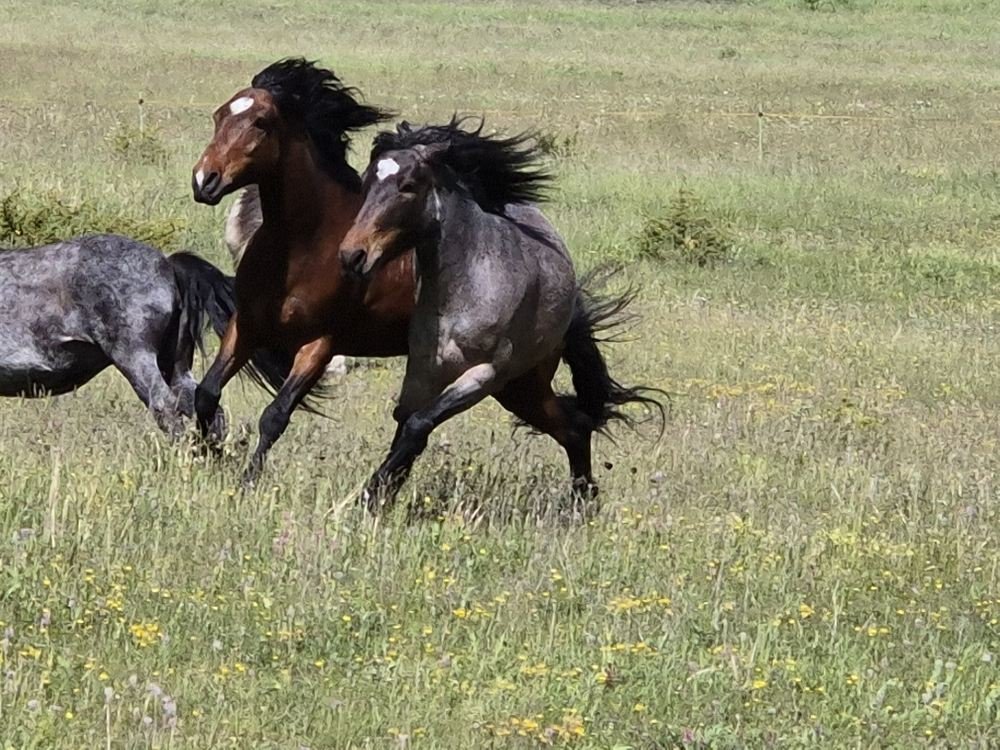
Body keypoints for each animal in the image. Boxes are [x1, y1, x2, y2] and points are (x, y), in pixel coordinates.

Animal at [190, 58, 416, 483]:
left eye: (261, 122)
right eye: (219, 115)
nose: (204, 181)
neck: (303, 248)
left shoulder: (319, 345)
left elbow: (275, 416)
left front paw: (248, 479)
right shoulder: (247, 325)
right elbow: (207, 392)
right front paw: (202, 454)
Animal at [339, 119, 662, 511]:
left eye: (408, 186)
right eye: (366, 181)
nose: (352, 255)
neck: (465, 291)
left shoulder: (484, 375)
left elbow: (418, 425)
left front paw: (368, 495)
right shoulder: (422, 372)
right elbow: (405, 424)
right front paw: (377, 498)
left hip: (515, 384)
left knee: (575, 426)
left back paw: (582, 503)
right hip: (521, 390)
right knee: (574, 427)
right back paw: (582, 501)